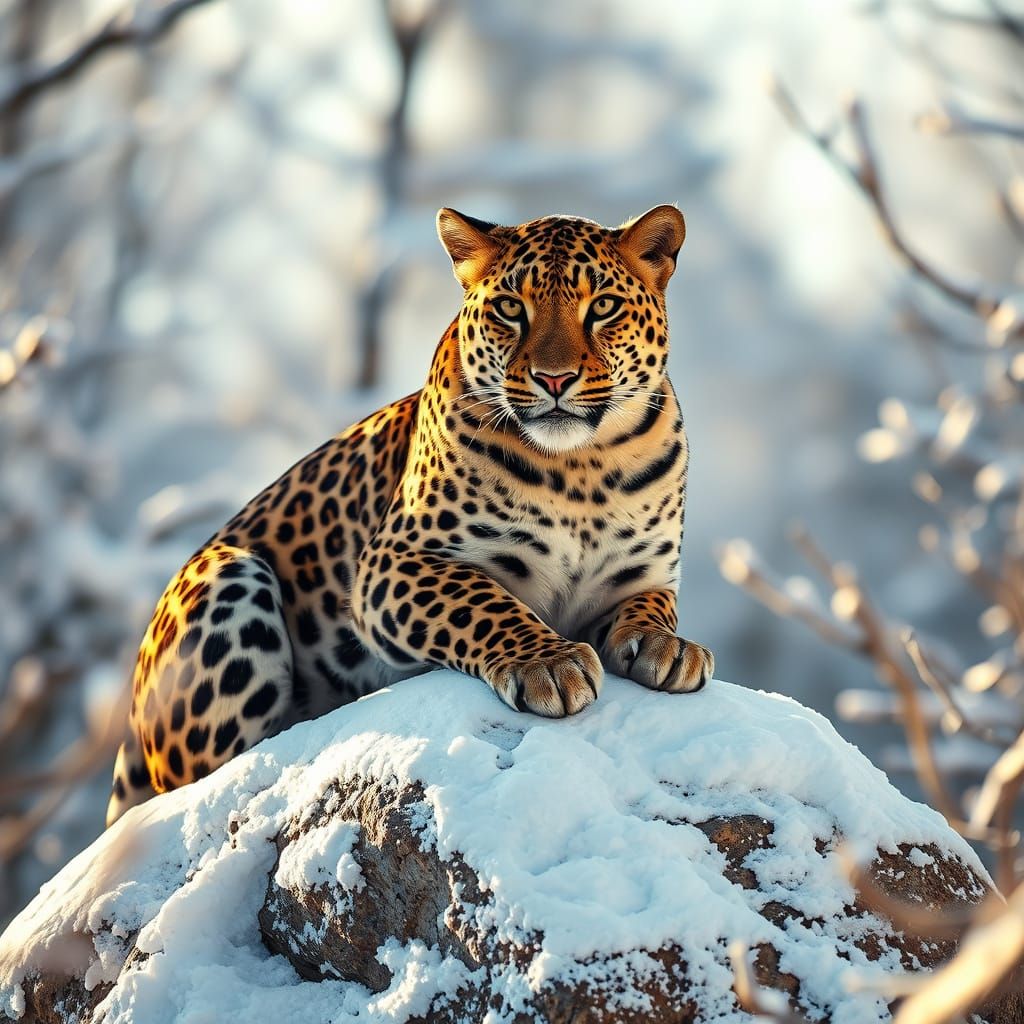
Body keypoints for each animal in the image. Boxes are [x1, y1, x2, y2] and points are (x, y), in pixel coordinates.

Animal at [105, 204, 714, 827]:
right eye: (511, 308)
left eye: (604, 307)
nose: (554, 379)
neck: (583, 471)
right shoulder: (395, 561)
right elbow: (484, 600)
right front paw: (550, 664)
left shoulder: (641, 576)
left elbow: (652, 608)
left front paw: (667, 647)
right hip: (228, 575)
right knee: (201, 783)